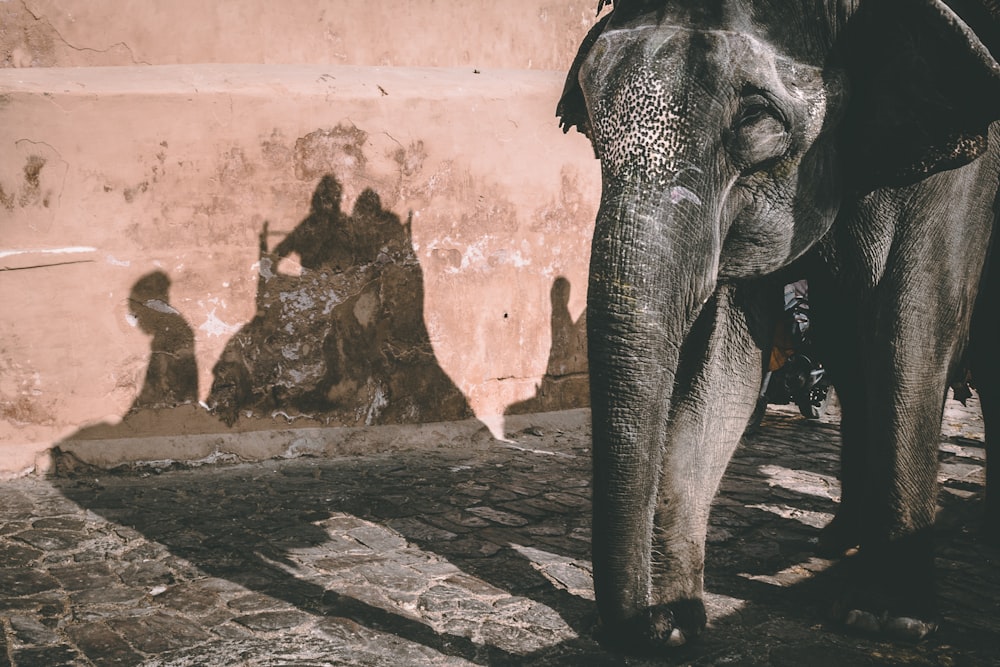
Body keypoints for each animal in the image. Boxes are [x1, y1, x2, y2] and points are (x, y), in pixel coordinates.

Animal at [560, 0, 1000, 656]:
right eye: (590, 122)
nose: (636, 627)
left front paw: (886, 620)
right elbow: (724, 359)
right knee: (846, 351)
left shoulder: (968, 157)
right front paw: (677, 621)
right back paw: (838, 540)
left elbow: (914, 322)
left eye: (756, 117)